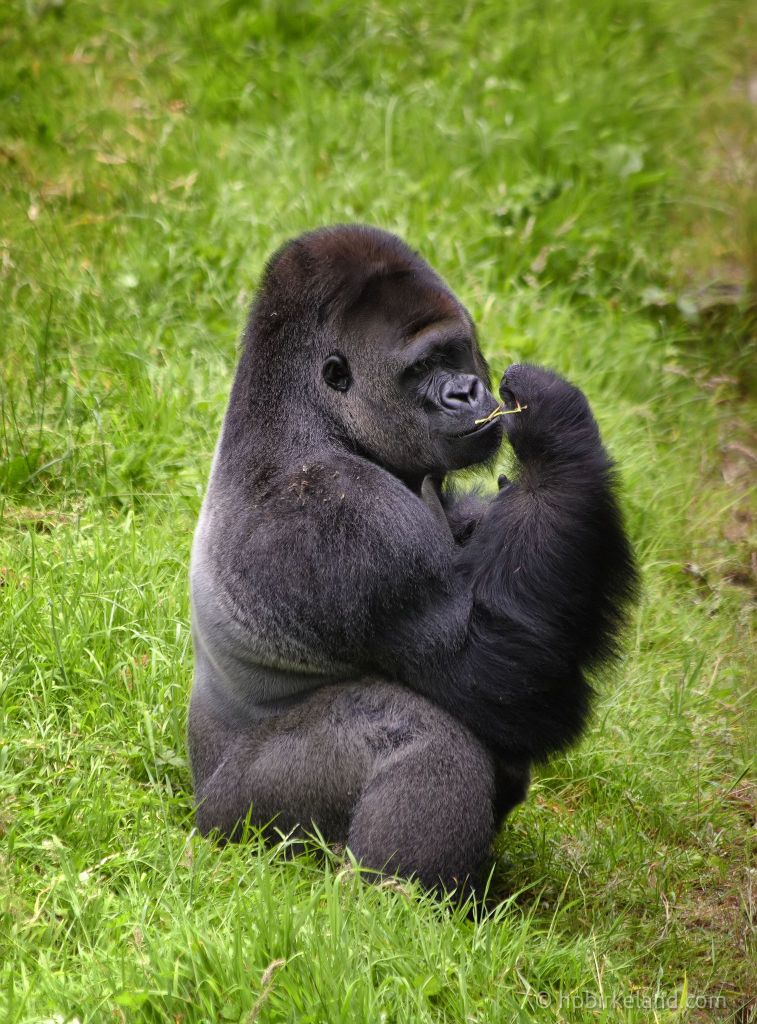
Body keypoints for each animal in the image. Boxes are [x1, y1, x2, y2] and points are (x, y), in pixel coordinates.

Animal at [188, 224, 637, 893]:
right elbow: (497, 674)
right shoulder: (347, 521)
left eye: (455, 352)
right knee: (414, 730)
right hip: (237, 822)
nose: (466, 391)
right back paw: (398, 900)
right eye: (422, 367)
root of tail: (194, 801)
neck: (311, 417)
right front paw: (558, 435)